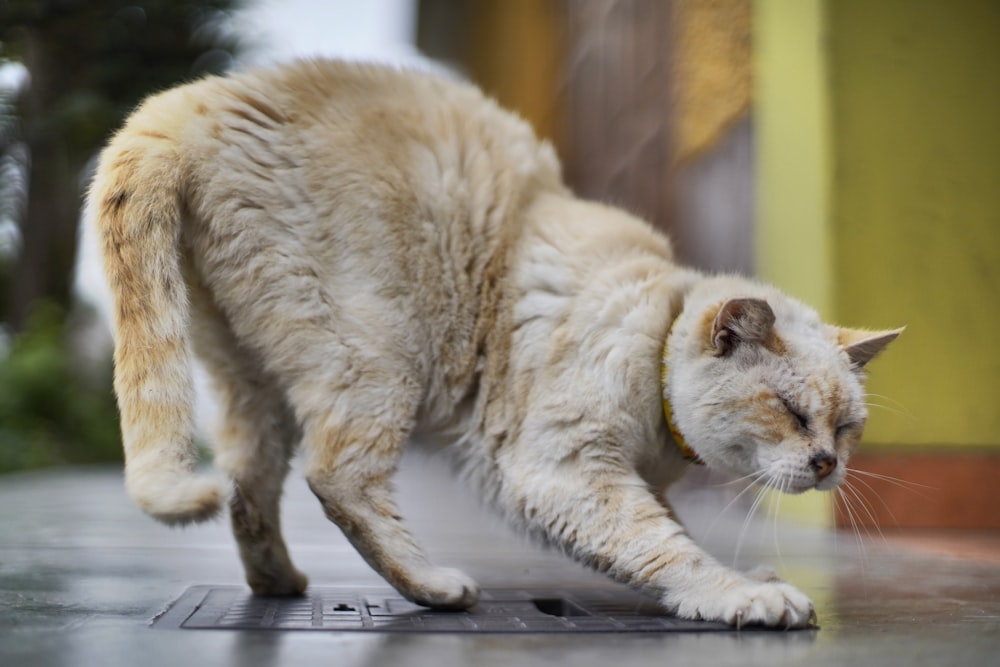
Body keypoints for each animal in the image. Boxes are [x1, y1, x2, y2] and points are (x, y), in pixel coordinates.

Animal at [86, 60, 900, 628]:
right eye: (791, 412)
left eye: (847, 427)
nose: (827, 464)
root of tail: (193, 104)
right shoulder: (563, 472)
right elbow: (665, 547)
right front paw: (744, 597)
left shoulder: (623, 478)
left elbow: (669, 532)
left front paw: (751, 582)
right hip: (378, 359)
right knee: (338, 479)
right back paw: (437, 589)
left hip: (253, 382)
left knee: (248, 492)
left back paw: (280, 585)